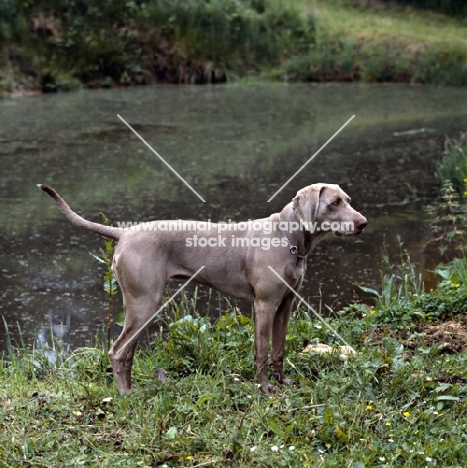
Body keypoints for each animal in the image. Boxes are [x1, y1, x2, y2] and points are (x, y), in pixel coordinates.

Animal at [38, 181, 368, 394]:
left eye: (349, 200)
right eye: (334, 203)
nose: (364, 222)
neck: (287, 237)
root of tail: (125, 233)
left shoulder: (285, 304)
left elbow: (278, 350)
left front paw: (283, 383)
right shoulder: (264, 305)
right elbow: (261, 352)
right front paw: (265, 389)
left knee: (126, 352)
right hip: (145, 303)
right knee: (117, 352)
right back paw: (125, 396)